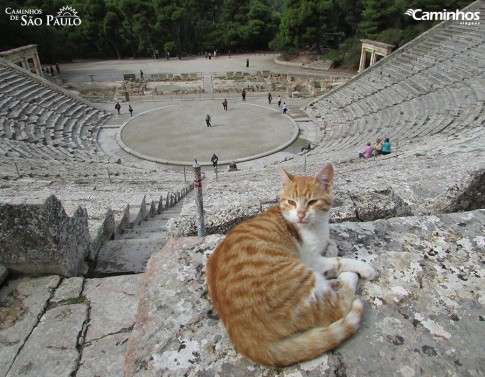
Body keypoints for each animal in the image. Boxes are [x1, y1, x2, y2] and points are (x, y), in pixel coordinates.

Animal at [206, 164, 376, 364]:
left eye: (312, 202)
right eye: (291, 202)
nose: (301, 215)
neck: (316, 226)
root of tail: (241, 336)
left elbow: (331, 248)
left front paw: (330, 247)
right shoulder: (311, 260)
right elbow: (338, 260)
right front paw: (362, 267)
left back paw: (333, 282)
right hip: (300, 274)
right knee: (337, 306)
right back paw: (346, 278)